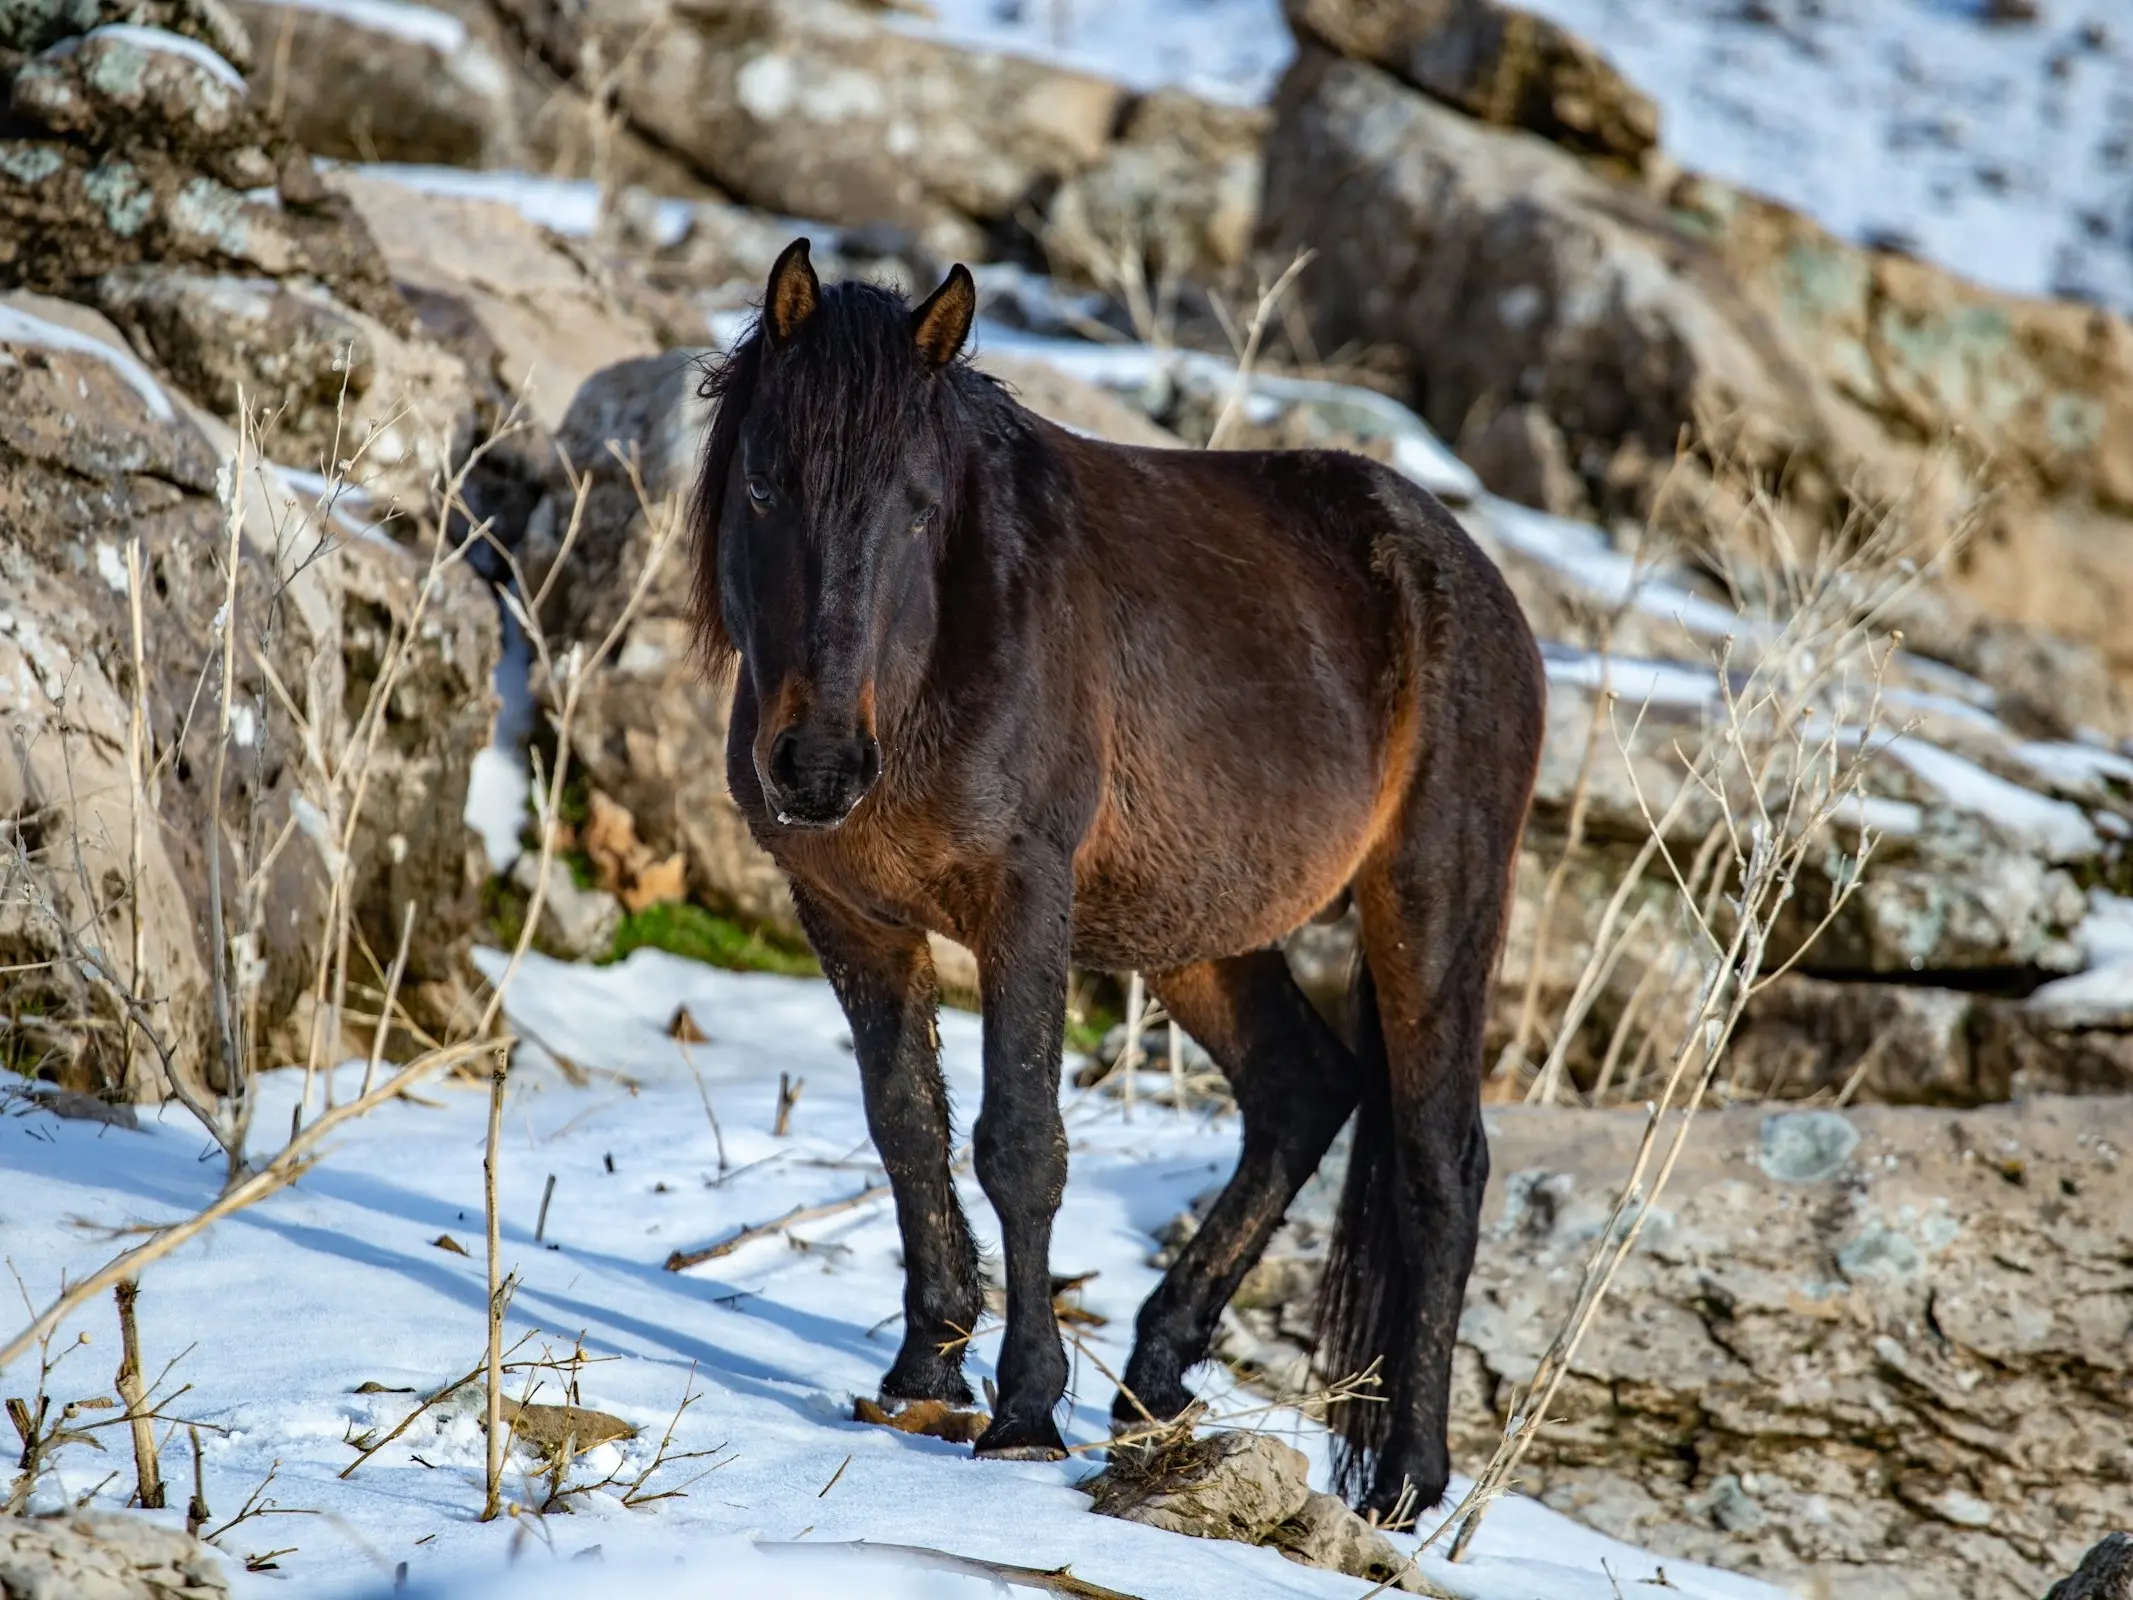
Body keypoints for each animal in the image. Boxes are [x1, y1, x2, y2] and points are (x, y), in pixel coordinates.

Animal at [691, 237, 1544, 1518]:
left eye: (920, 506)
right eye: (761, 487)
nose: (820, 765)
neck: (935, 658)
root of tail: (1475, 578)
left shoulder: (1023, 903)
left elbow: (1020, 1144)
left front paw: (1025, 1411)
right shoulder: (850, 914)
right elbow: (906, 1126)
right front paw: (922, 1370)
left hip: (1435, 899)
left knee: (1442, 1168)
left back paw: (1405, 1477)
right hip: (1201, 934)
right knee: (1301, 1090)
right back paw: (1154, 1377)